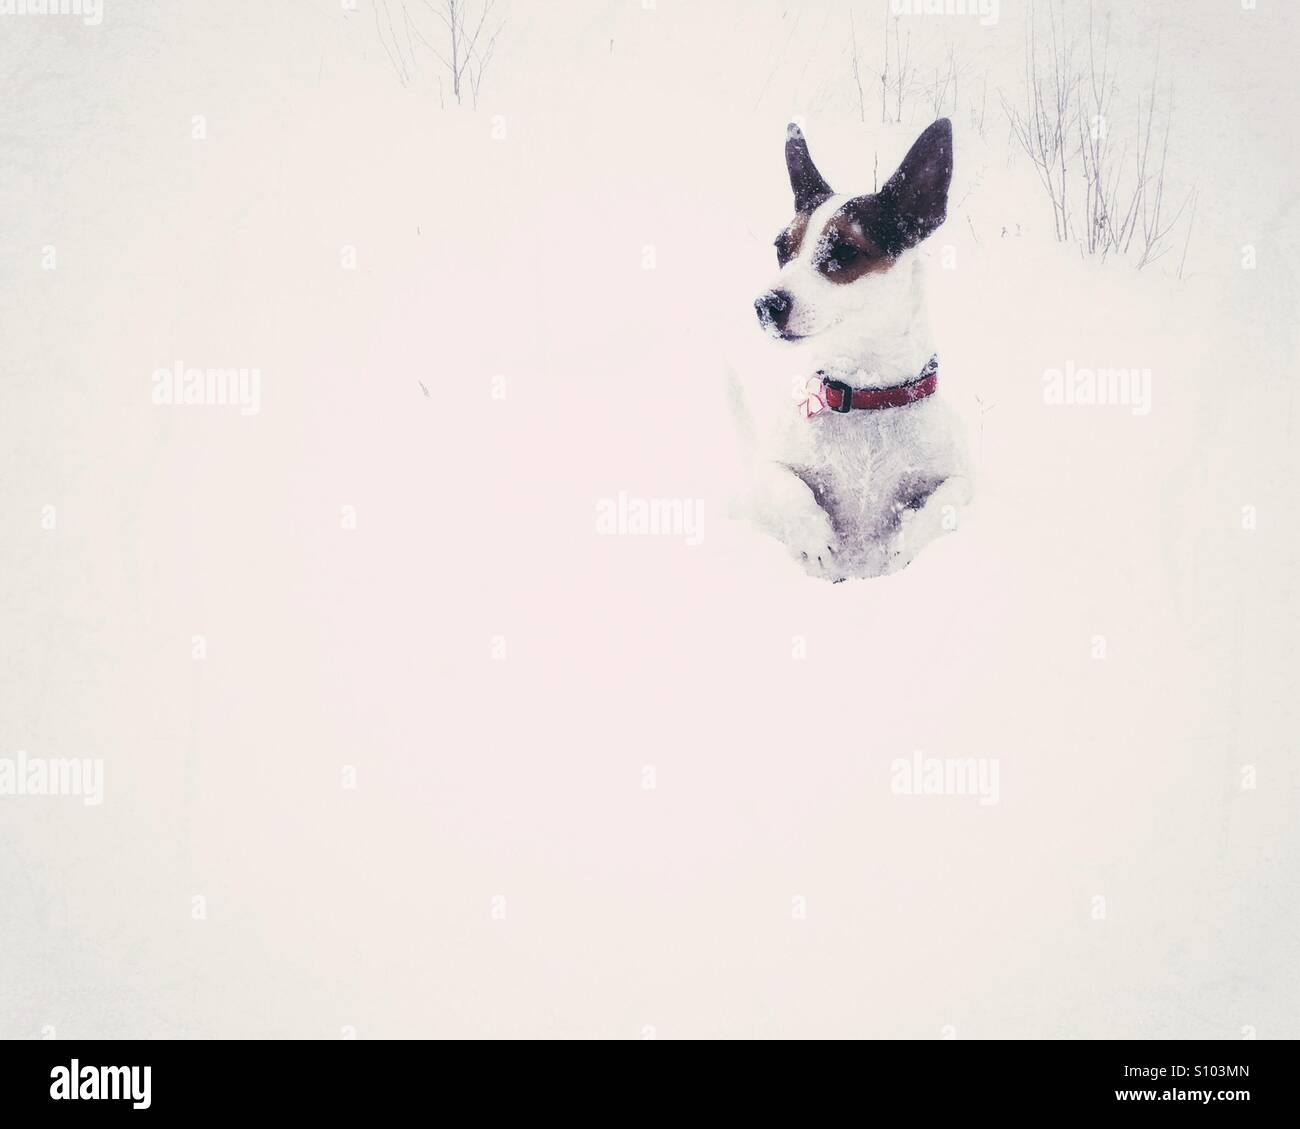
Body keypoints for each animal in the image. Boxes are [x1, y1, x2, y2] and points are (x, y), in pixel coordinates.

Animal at [738, 119, 972, 582]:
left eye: (844, 251)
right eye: (781, 250)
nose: (765, 305)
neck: (865, 394)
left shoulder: (963, 477)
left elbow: (946, 502)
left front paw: (902, 548)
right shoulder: (769, 471)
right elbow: (787, 486)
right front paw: (815, 539)